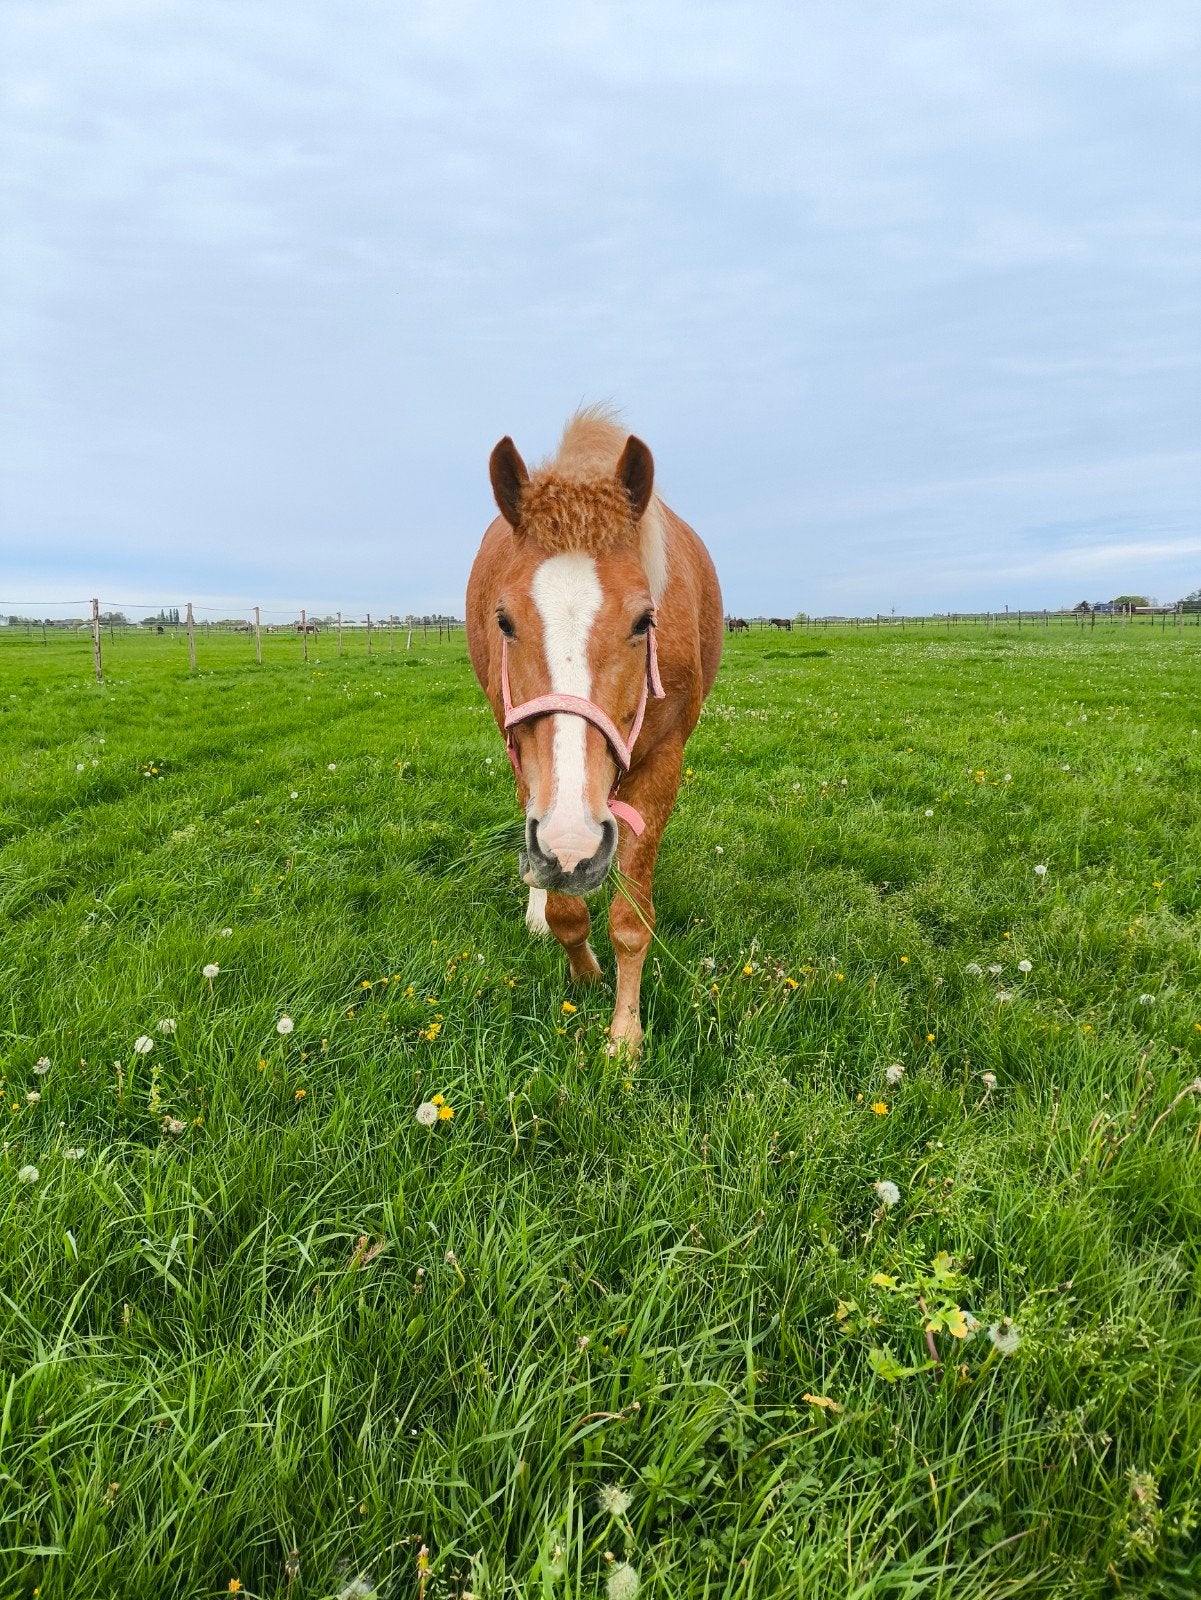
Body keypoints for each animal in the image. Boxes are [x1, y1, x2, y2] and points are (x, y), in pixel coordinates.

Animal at [466, 406, 723, 1054]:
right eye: (503, 620)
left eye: (644, 621)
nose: (573, 844)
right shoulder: (529, 762)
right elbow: (567, 910)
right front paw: (583, 972)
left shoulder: (663, 761)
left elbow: (632, 921)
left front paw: (625, 1035)